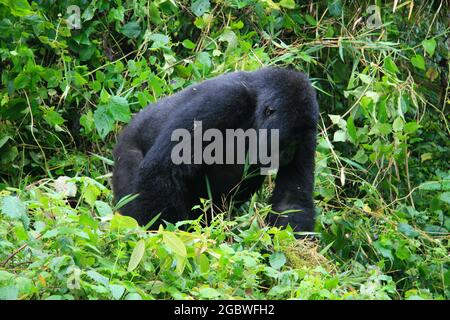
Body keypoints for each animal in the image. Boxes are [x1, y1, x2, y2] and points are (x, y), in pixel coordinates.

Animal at [111, 67, 318, 232]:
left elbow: (292, 200)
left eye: (298, 142)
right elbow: (162, 170)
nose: (288, 154)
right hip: (126, 149)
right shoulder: (225, 99)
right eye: (288, 141)